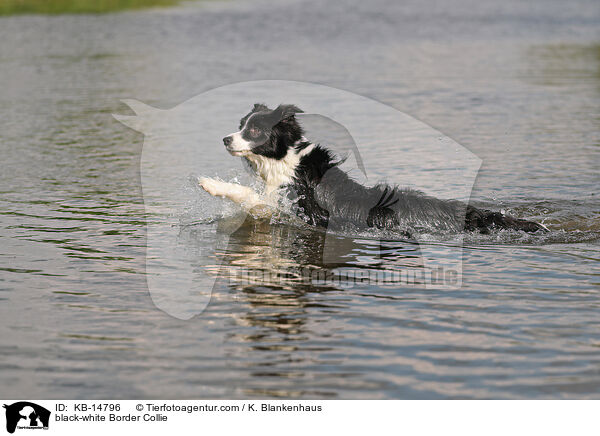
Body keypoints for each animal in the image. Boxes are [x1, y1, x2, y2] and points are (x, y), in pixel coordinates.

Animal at [199, 103, 548, 235]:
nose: (225, 138)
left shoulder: (303, 210)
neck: (286, 162)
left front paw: (210, 184)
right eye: (240, 125)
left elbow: (251, 197)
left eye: (254, 130)